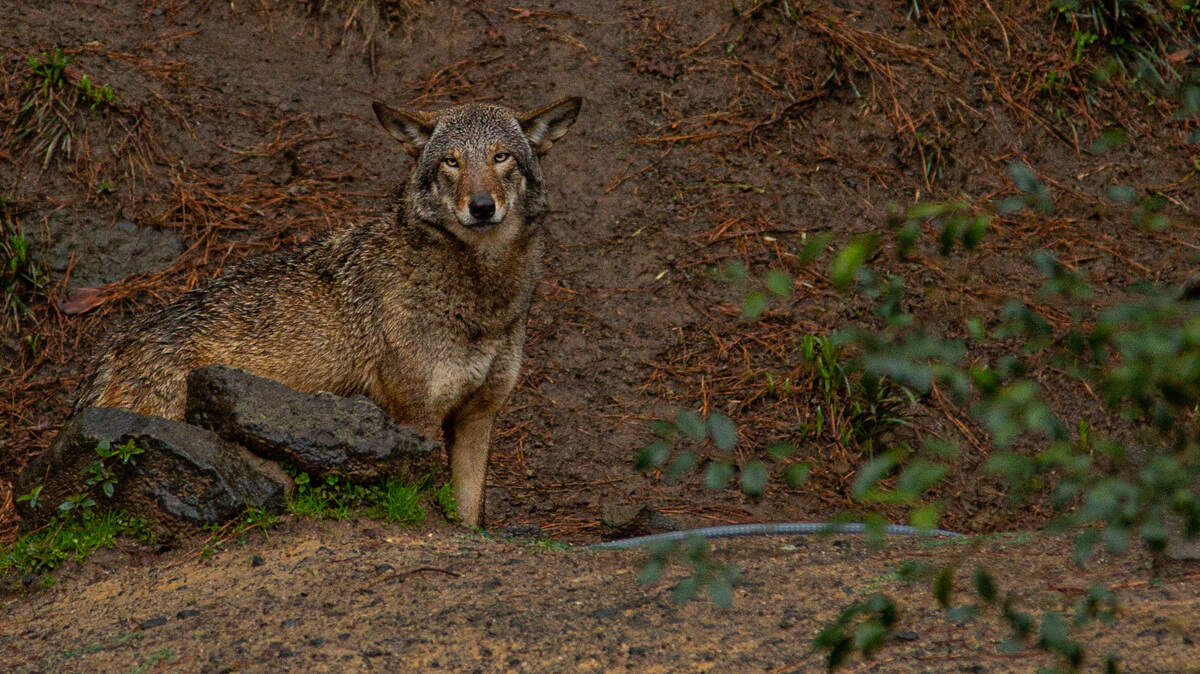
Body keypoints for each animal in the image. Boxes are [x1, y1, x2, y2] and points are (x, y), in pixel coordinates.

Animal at [72, 96, 582, 527]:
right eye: (451, 162)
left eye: (502, 157)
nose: (481, 207)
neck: (481, 301)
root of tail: (110, 351)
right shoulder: (414, 417)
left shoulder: (479, 415)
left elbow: (469, 515)